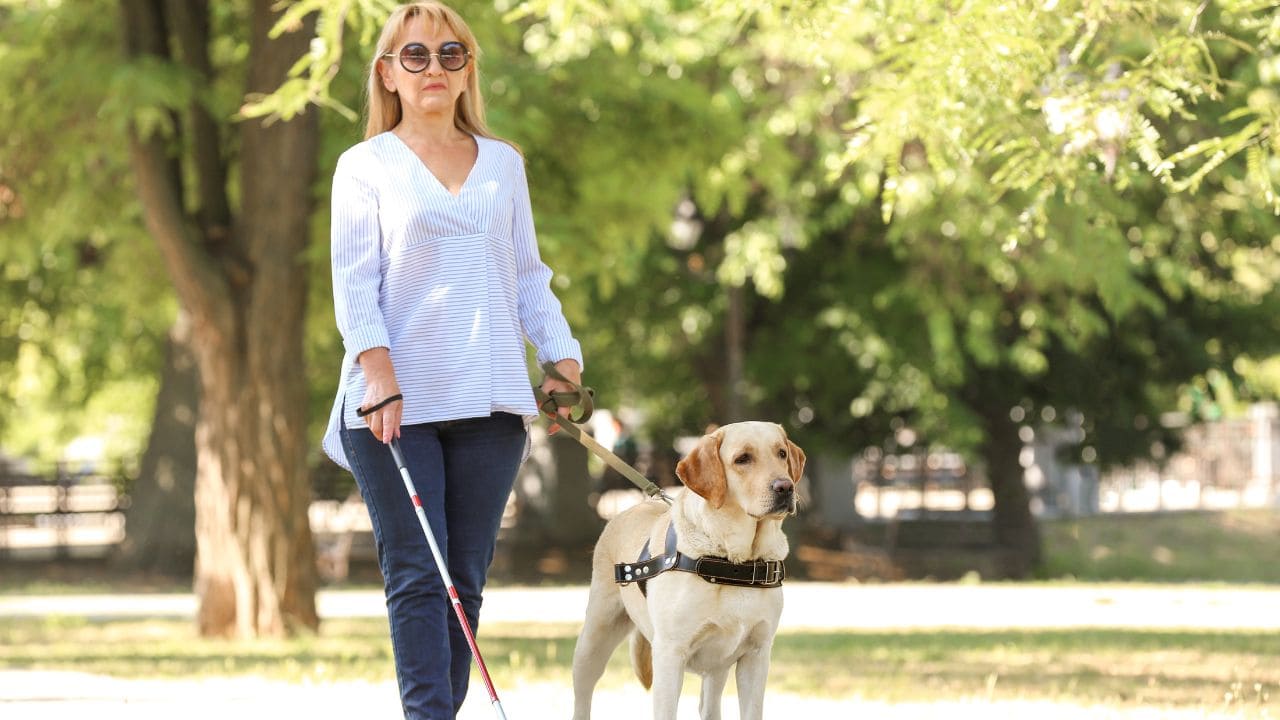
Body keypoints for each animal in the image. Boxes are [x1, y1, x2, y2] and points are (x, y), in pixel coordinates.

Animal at [573, 420, 803, 717]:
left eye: (782, 454)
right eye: (742, 459)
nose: (786, 487)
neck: (733, 563)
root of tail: (629, 510)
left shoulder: (757, 654)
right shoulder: (670, 654)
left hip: (718, 667)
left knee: (709, 706)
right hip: (593, 640)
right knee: (582, 698)